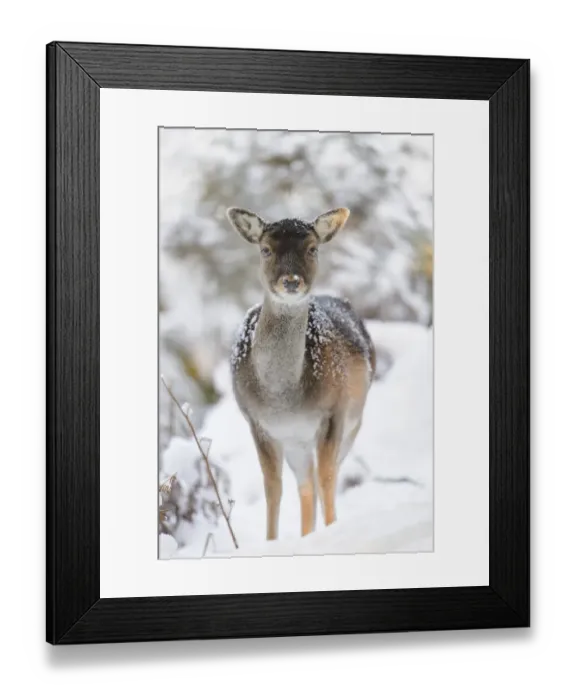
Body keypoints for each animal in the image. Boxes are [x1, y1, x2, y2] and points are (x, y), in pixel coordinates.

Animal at [226, 206, 376, 542]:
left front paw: (333, 531)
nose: (291, 282)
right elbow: (273, 488)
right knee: (305, 486)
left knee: (321, 479)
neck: (283, 398)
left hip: (351, 425)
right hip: (298, 443)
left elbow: (328, 478)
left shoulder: (333, 413)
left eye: (312, 248)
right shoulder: (257, 422)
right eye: (265, 249)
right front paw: (271, 541)